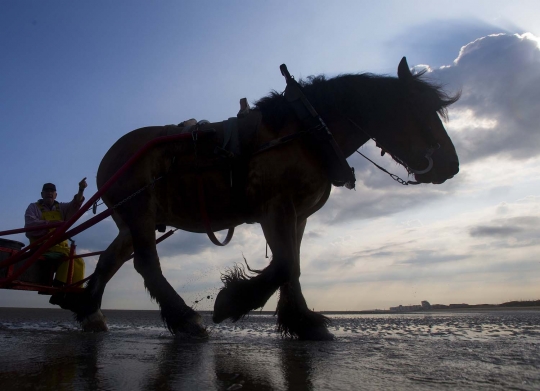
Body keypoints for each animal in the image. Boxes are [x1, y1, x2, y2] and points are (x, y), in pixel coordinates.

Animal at [62, 57, 460, 340]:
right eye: (420, 111)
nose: (452, 166)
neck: (308, 130)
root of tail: (111, 157)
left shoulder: (298, 214)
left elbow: (293, 265)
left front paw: (301, 321)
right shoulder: (276, 207)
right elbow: (283, 265)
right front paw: (232, 302)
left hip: (133, 219)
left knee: (111, 259)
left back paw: (90, 310)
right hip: (139, 211)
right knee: (146, 264)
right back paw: (185, 319)